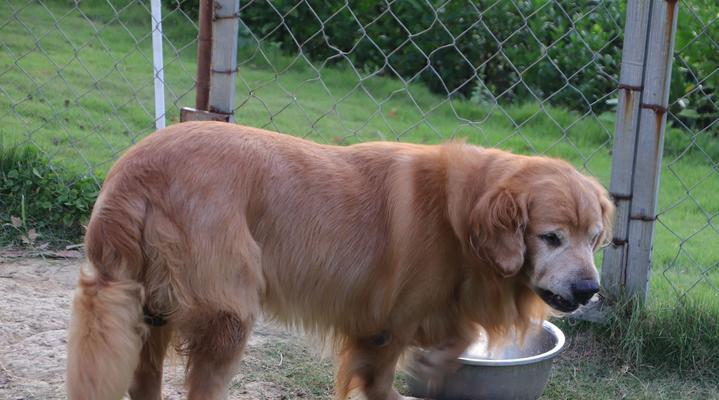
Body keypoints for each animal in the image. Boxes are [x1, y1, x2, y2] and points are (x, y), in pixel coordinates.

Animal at [66, 120, 612, 398]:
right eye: (551, 237)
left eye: (595, 239)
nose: (589, 290)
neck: (463, 217)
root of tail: (133, 172)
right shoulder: (389, 323)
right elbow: (387, 377)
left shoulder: (415, 314)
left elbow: (455, 338)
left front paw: (436, 363)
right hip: (227, 314)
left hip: (151, 311)